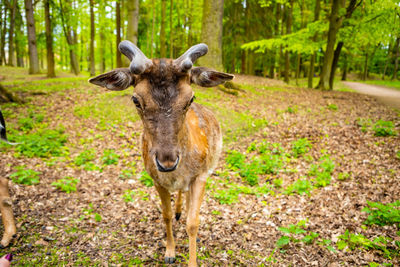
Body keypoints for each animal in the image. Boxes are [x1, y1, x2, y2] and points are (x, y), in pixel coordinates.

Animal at [89, 40, 233, 266]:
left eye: (190, 98)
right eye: (136, 100)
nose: (167, 162)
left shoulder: (201, 176)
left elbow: (193, 222)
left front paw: (192, 260)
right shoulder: (156, 179)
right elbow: (165, 215)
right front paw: (170, 252)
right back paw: (179, 210)